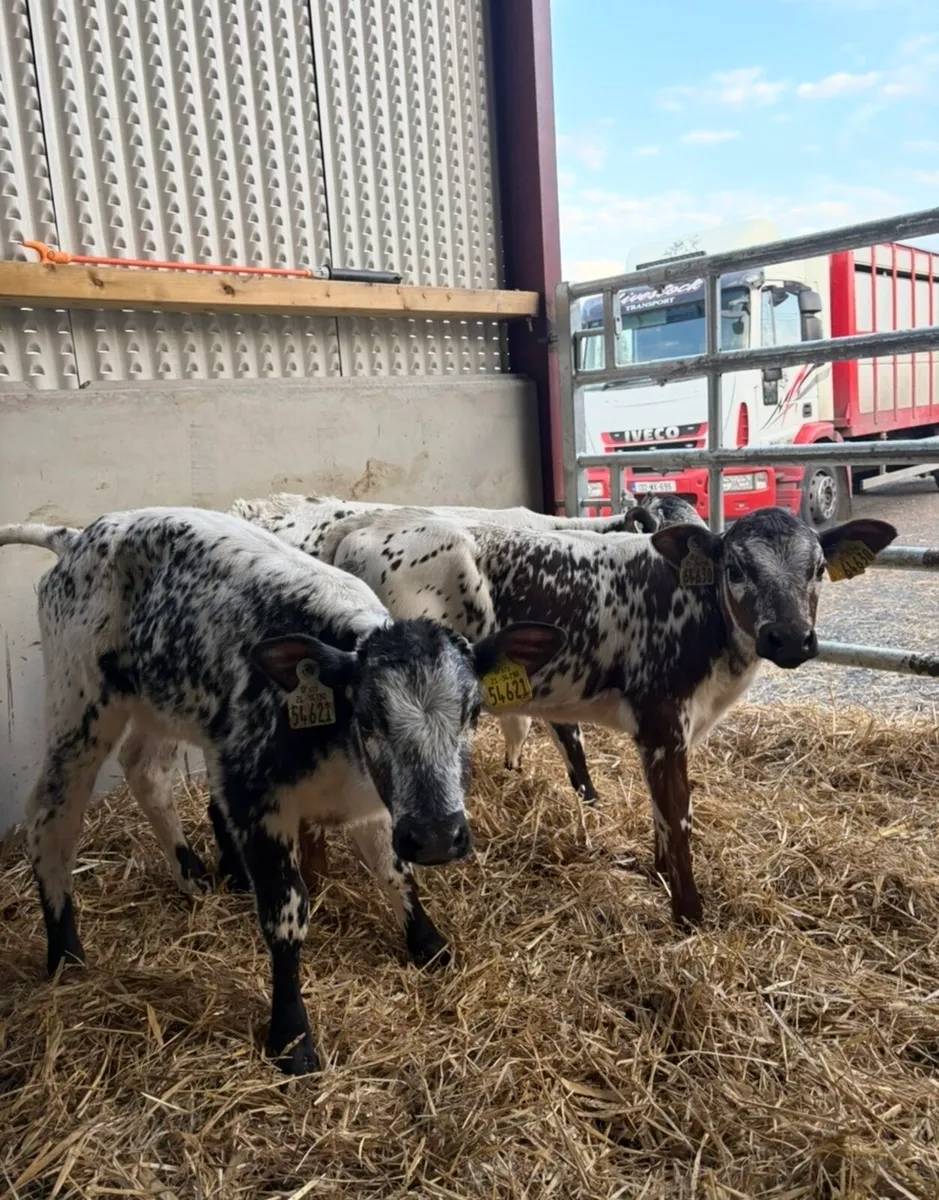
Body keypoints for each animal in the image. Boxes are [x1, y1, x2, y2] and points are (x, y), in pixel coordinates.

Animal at [0, 509, 564, 1074]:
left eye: (473, 711)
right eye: (369, 716)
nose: (437, 838)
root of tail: (80, 535)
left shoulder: (375, 803)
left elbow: (394, 871)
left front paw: (429, 942)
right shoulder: (253, 796)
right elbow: (288, 914)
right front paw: (292, 1037)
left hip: (164, 705)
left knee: (146, 769)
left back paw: (191, 875)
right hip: (79, 705)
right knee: (52, 816)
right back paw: (66, 954)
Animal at [312, 505, 897, 925]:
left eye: (817, 568)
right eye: (735, 568)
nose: (791, 638)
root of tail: (366, 523)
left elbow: (662, 813)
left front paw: (660, 877)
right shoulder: (663, 723)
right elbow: (677, 815)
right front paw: (689, 914)